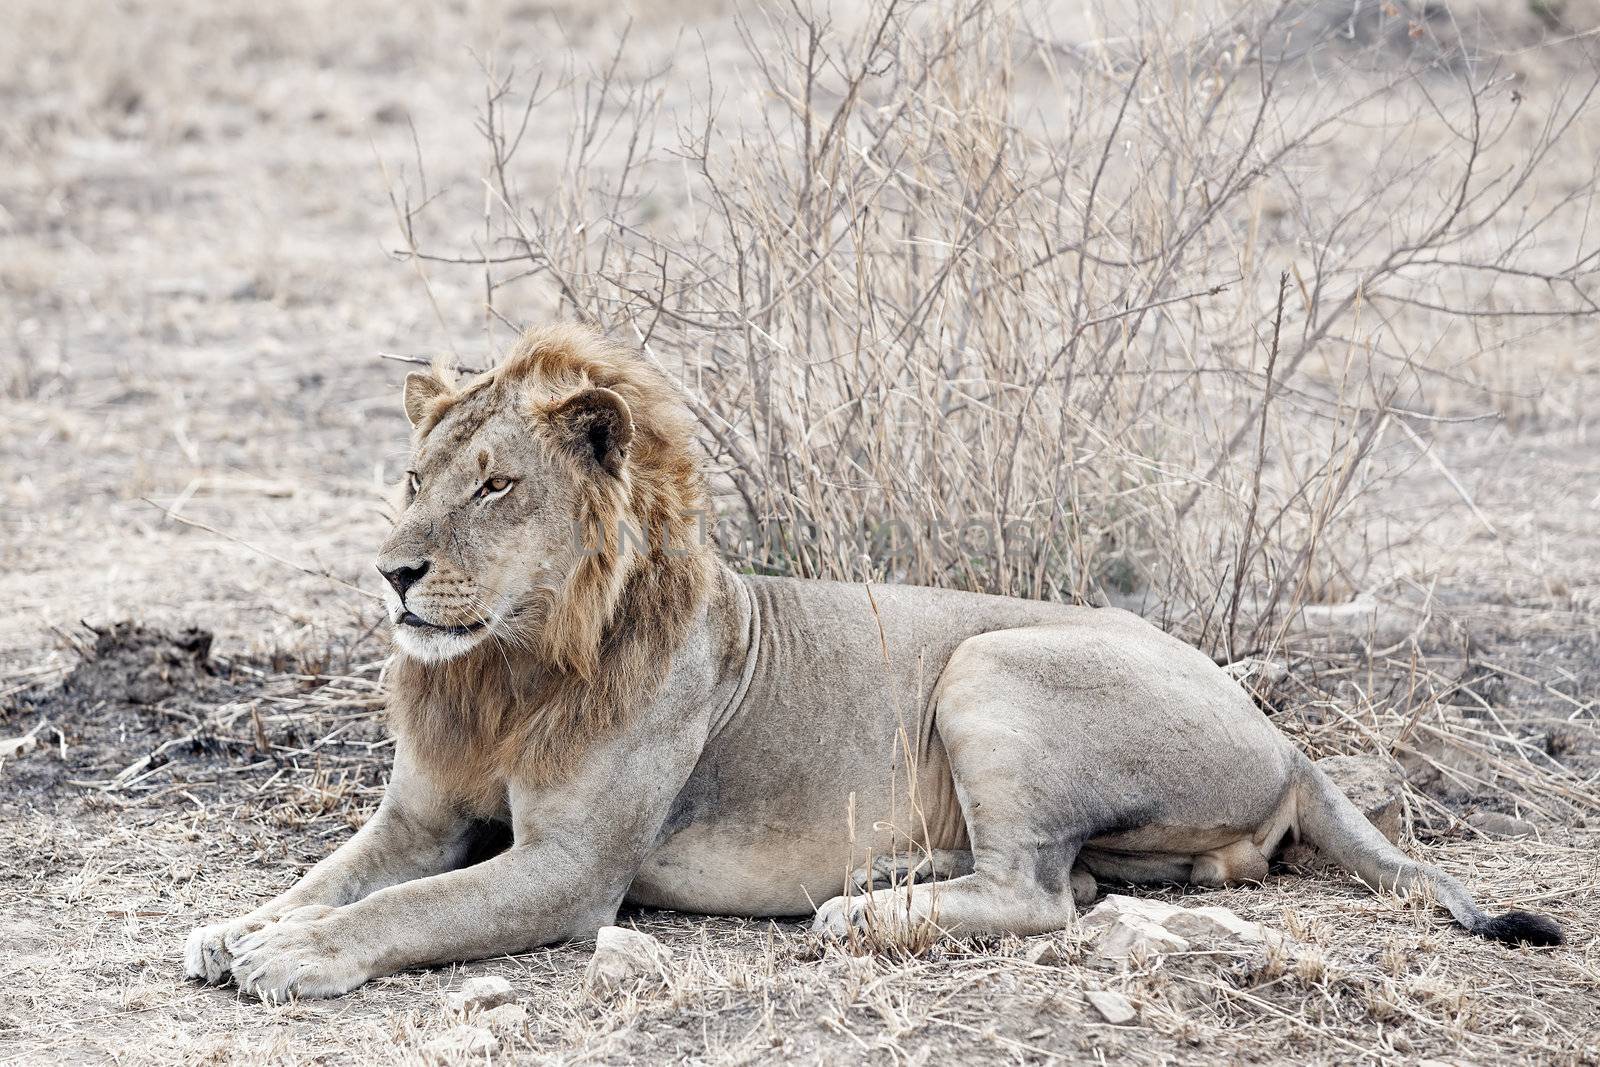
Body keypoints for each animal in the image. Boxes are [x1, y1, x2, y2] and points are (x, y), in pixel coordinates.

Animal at [184, 323, 1561, 1004]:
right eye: (413, 477)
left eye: (496, 487)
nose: (393, 571)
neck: (504, 668)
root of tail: (1279, 728)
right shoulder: (418, 815)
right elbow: (332, 877)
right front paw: (240, 926)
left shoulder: (573, 869)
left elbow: (406, 909)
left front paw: (293, 957)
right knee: (1077, 877)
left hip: (990, 664)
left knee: (1040, 894)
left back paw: (865, 909)